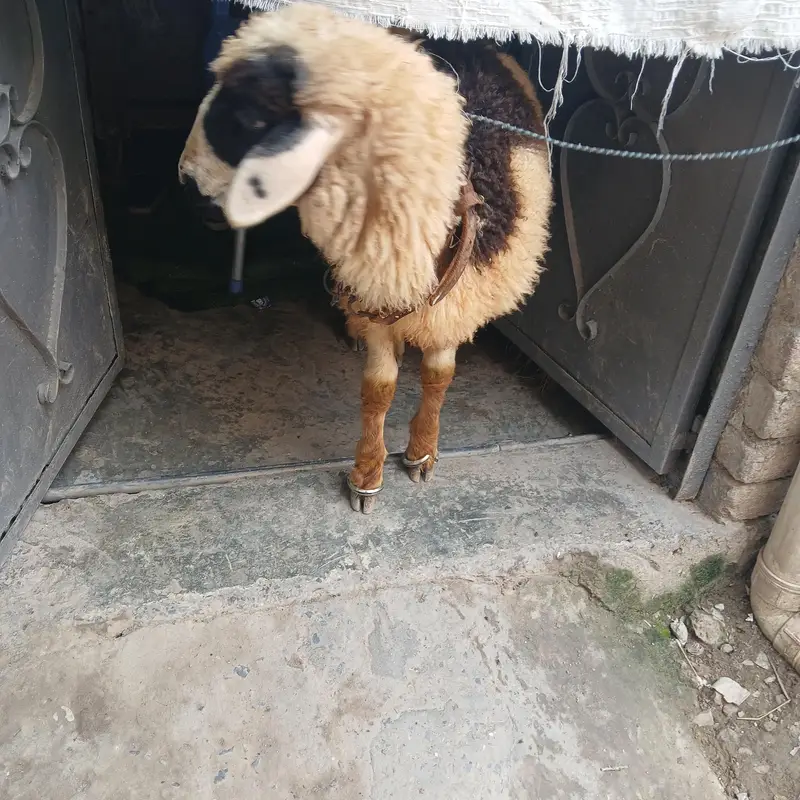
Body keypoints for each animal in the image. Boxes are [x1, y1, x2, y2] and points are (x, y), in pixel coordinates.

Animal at [178, 3, 553, 513]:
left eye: (251, 117)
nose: (185, 178)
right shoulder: (377, 291)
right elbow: (379, 390)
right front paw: (368, 476)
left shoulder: (457, 305)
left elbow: (438, 377)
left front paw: (421, 453)